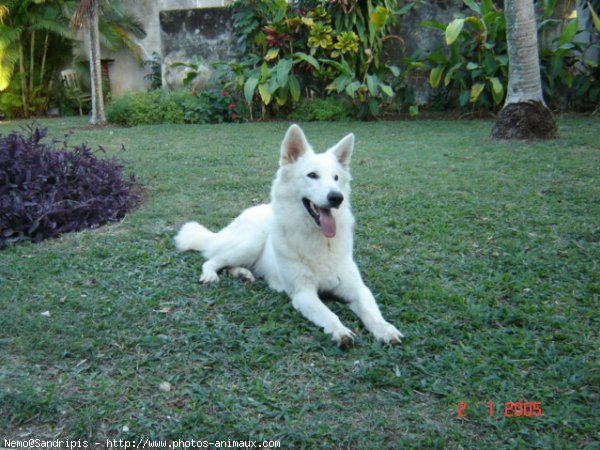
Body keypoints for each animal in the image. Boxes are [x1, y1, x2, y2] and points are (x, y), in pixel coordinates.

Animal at [176, 125, 406, 346]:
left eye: (336, 178)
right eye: (312, 175)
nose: (336, 198)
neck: (318, 240)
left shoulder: (357, 288)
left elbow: (371, 311)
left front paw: (385, 330)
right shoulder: (304, 293)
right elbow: (328, 314)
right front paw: (340, 331)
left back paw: (243, 274)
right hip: (250, 243)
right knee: (212, 260)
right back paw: (211, 274)